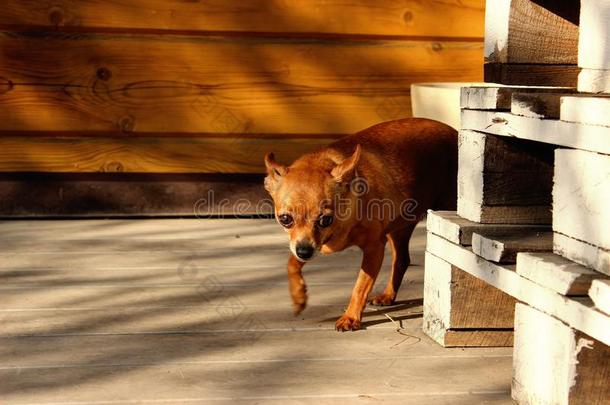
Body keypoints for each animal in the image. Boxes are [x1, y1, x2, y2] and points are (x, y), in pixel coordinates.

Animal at [264, 117, 454, 332]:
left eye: (325, 219)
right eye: (285, 219)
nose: (304, 252)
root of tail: (454, 132)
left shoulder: (374, 249)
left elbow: (360, 286)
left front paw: (350, 317)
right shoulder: (306, 244)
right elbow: (292, 263)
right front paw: (298, 296)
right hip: (396, 229)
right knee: (402, 259)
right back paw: (388, 295)